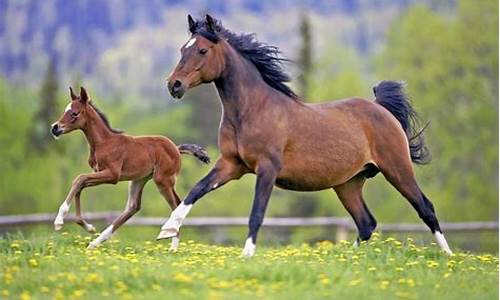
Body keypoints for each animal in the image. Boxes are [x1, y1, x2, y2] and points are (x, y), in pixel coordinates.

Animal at [49, 86, 208, 248]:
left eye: (74, 113)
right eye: (65, 110)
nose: (55, 128)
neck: (104, 142)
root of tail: (176, 148)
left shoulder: (112, 175)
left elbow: (79, 179)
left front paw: (59, 221)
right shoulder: (99, 173)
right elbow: (80, 185)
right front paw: (89, 227)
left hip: (162, 180)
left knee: (175, 204)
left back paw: (173, 247)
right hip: (139, 179)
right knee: (133, 207)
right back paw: (96, 242)